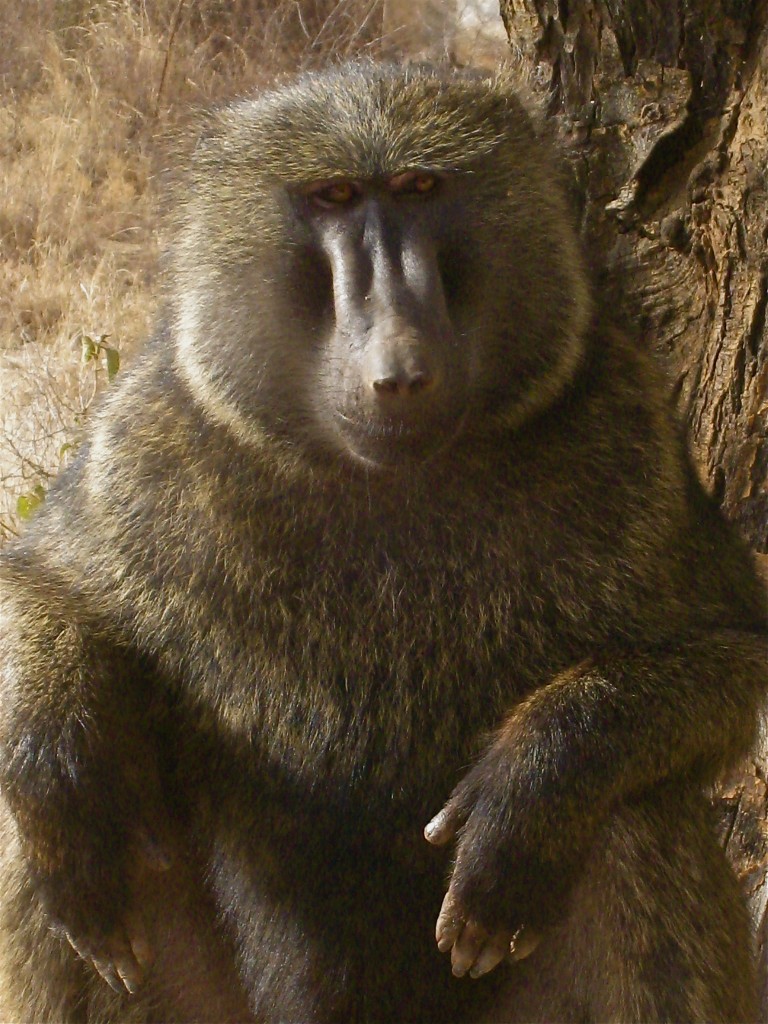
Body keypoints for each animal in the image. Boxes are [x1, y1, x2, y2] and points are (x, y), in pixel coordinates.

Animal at [0, 59, 766, 1023]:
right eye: (333, 196)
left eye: (419, 189)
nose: (399, 366)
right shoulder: (146, 438)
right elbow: (46, 584)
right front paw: (53, 764)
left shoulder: (632, 428)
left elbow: (730, 658)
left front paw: (532, 790)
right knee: (47, 853)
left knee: (640, 824)